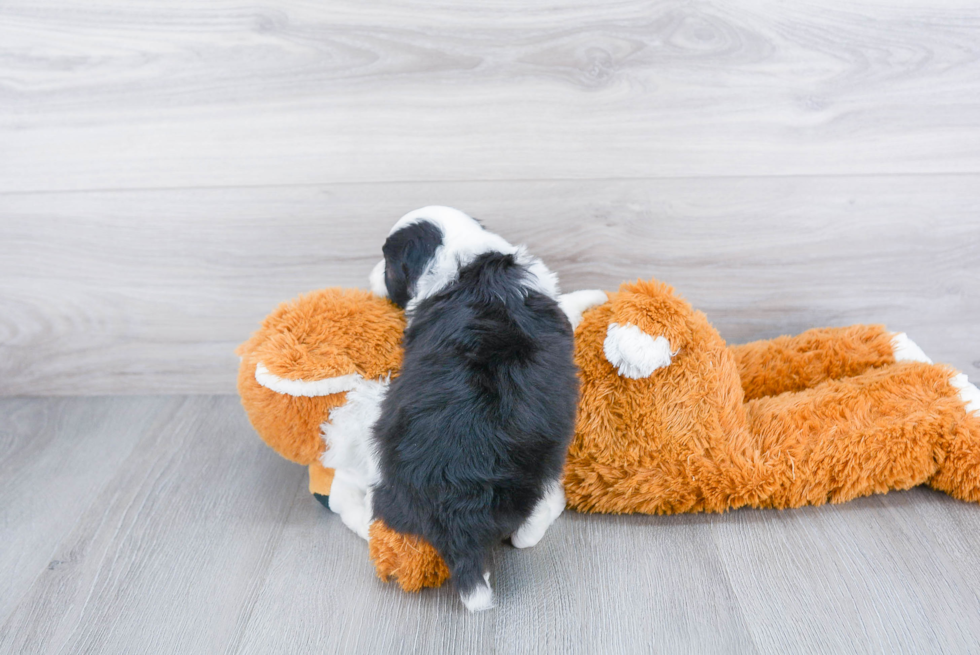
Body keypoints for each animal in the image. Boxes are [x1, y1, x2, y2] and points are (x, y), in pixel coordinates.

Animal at [372, 208, 580, 612]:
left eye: (386, 264)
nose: (370, 273)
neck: (465, 258)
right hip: (534, 472)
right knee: (525, 532)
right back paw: (553, 507)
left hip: (388, 482)